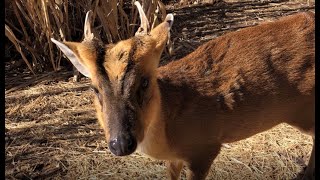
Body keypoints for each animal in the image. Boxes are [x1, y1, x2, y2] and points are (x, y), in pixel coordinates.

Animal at [50, 2, 316, 179]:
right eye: (94, 88)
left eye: (145, 81)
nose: (121, 144)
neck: (169, 132)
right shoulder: (175, 158)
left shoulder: (205, 148)